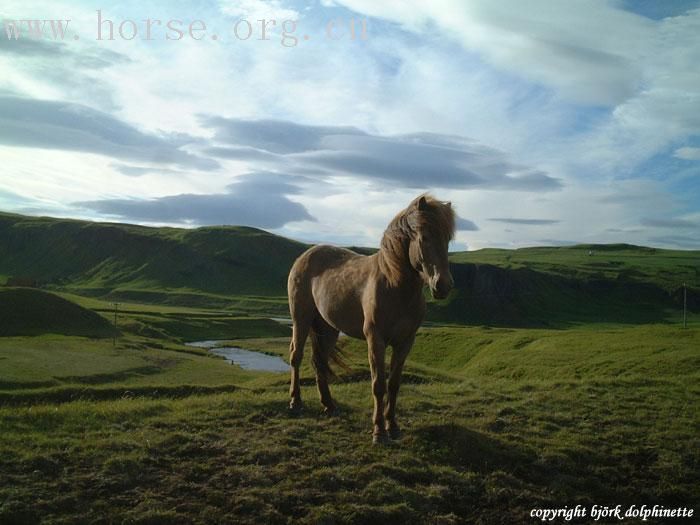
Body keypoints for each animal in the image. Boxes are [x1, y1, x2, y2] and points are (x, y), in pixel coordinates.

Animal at [288, 194, 456, 444]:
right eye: (425, 237)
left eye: (448, 239)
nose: (443, 286)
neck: (395, 285)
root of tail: (305, 255)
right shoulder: (375, 340)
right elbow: (378, 384)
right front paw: (378, 431)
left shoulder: (405, 342)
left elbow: (394, 384)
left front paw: (393, 426)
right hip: (301, 319)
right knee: (296, 356)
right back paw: (295, 402)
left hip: (328, 329)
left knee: (319, 362)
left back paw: (329, 405)